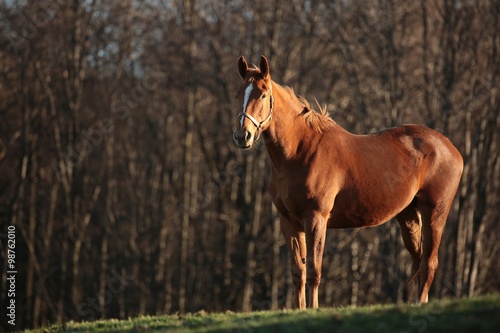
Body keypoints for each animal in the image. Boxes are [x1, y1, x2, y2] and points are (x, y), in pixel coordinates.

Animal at [232, 55, 462, 308]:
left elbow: (314, 270)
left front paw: (313, 309)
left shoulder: (316, 218)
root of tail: (450, 148)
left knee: (429, 262)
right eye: (238, 95)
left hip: (435, 213)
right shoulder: (289, 222)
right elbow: (297, 272)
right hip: (408, 216)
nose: (242, 136)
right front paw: (300, 310)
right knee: (419, 261)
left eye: (263, 95)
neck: (299, 151)